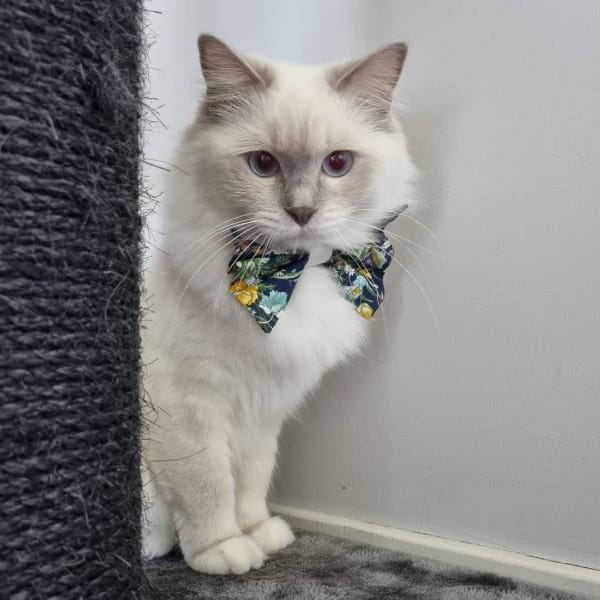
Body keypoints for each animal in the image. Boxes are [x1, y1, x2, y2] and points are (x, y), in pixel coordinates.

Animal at [142, 34, 418, 576]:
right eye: (263, 165)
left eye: (338, 164)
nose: (302, 211)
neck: (294, 274)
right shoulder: (187, 404)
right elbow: (207, 484)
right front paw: (223, 550)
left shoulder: (263, 412)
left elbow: (251, 481)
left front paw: (259, 535)